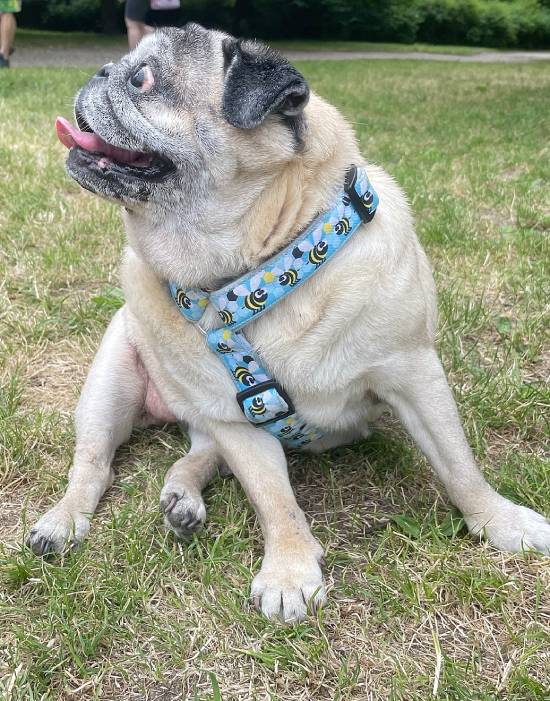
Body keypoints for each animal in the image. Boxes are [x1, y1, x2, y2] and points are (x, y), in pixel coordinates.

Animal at [28, 23, 550, 622]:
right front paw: (290, 569)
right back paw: (62, 522)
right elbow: (275, 502)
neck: (259, 272)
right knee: (95, 466)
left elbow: (459, 464)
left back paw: (182, 497)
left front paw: (499, 522)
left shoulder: (413, 372)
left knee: (198, 453)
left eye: (142, 79)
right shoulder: (239, 422)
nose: (101, 71)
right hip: (111, 385)